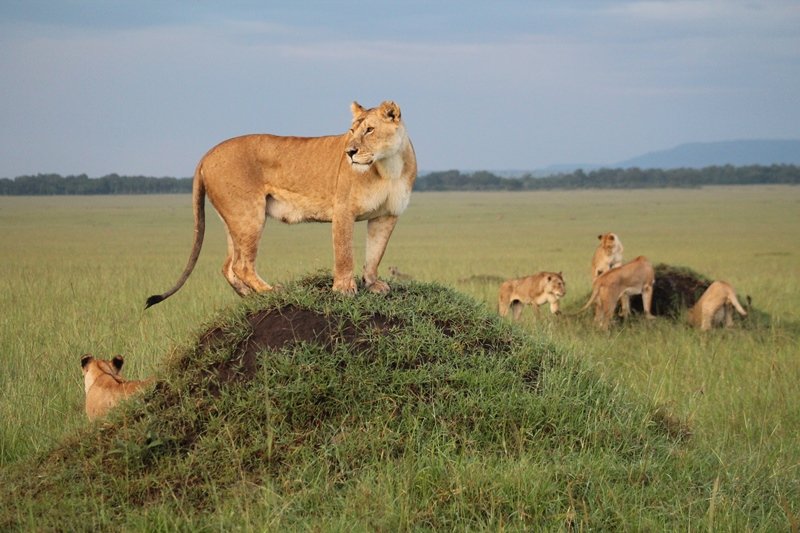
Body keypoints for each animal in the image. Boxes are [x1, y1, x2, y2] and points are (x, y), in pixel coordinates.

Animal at [146, 100, 417, 308]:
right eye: (352, 130)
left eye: (369, 129)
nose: (349, 152)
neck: (388, 165)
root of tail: (206, 154)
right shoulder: (343, 210)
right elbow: (344, 253)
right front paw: (344, 289)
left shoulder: (386, 215)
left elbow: (375, 253)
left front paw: (372, 284)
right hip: (249, 214)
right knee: (241, 265)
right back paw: (270, 292)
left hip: (233, 220)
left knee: (228, 266)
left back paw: (250, 297)